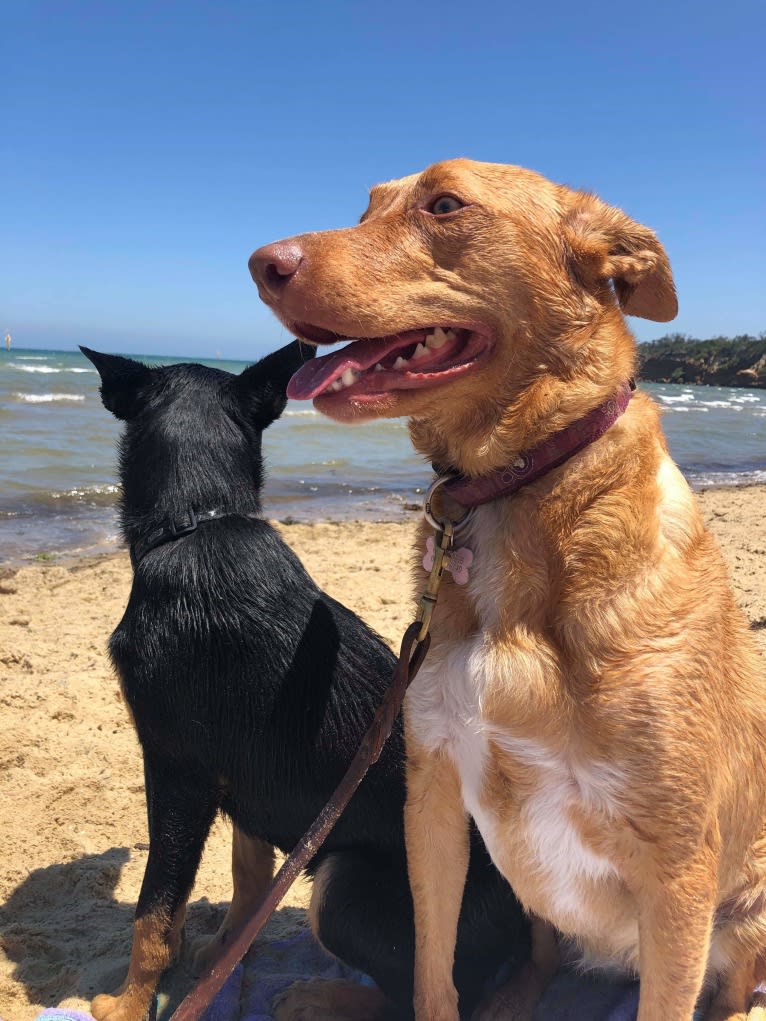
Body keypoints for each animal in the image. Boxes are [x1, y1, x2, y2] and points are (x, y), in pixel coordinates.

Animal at [82, 343, 527, 1021]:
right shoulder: (237, 783)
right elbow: (246, 882)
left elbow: (153, 912)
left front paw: (129, 1004)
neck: (199, 520)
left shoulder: (177, 774)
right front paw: (217, 957)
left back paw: (320, 995)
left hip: (343, 883)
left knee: (428, 996)